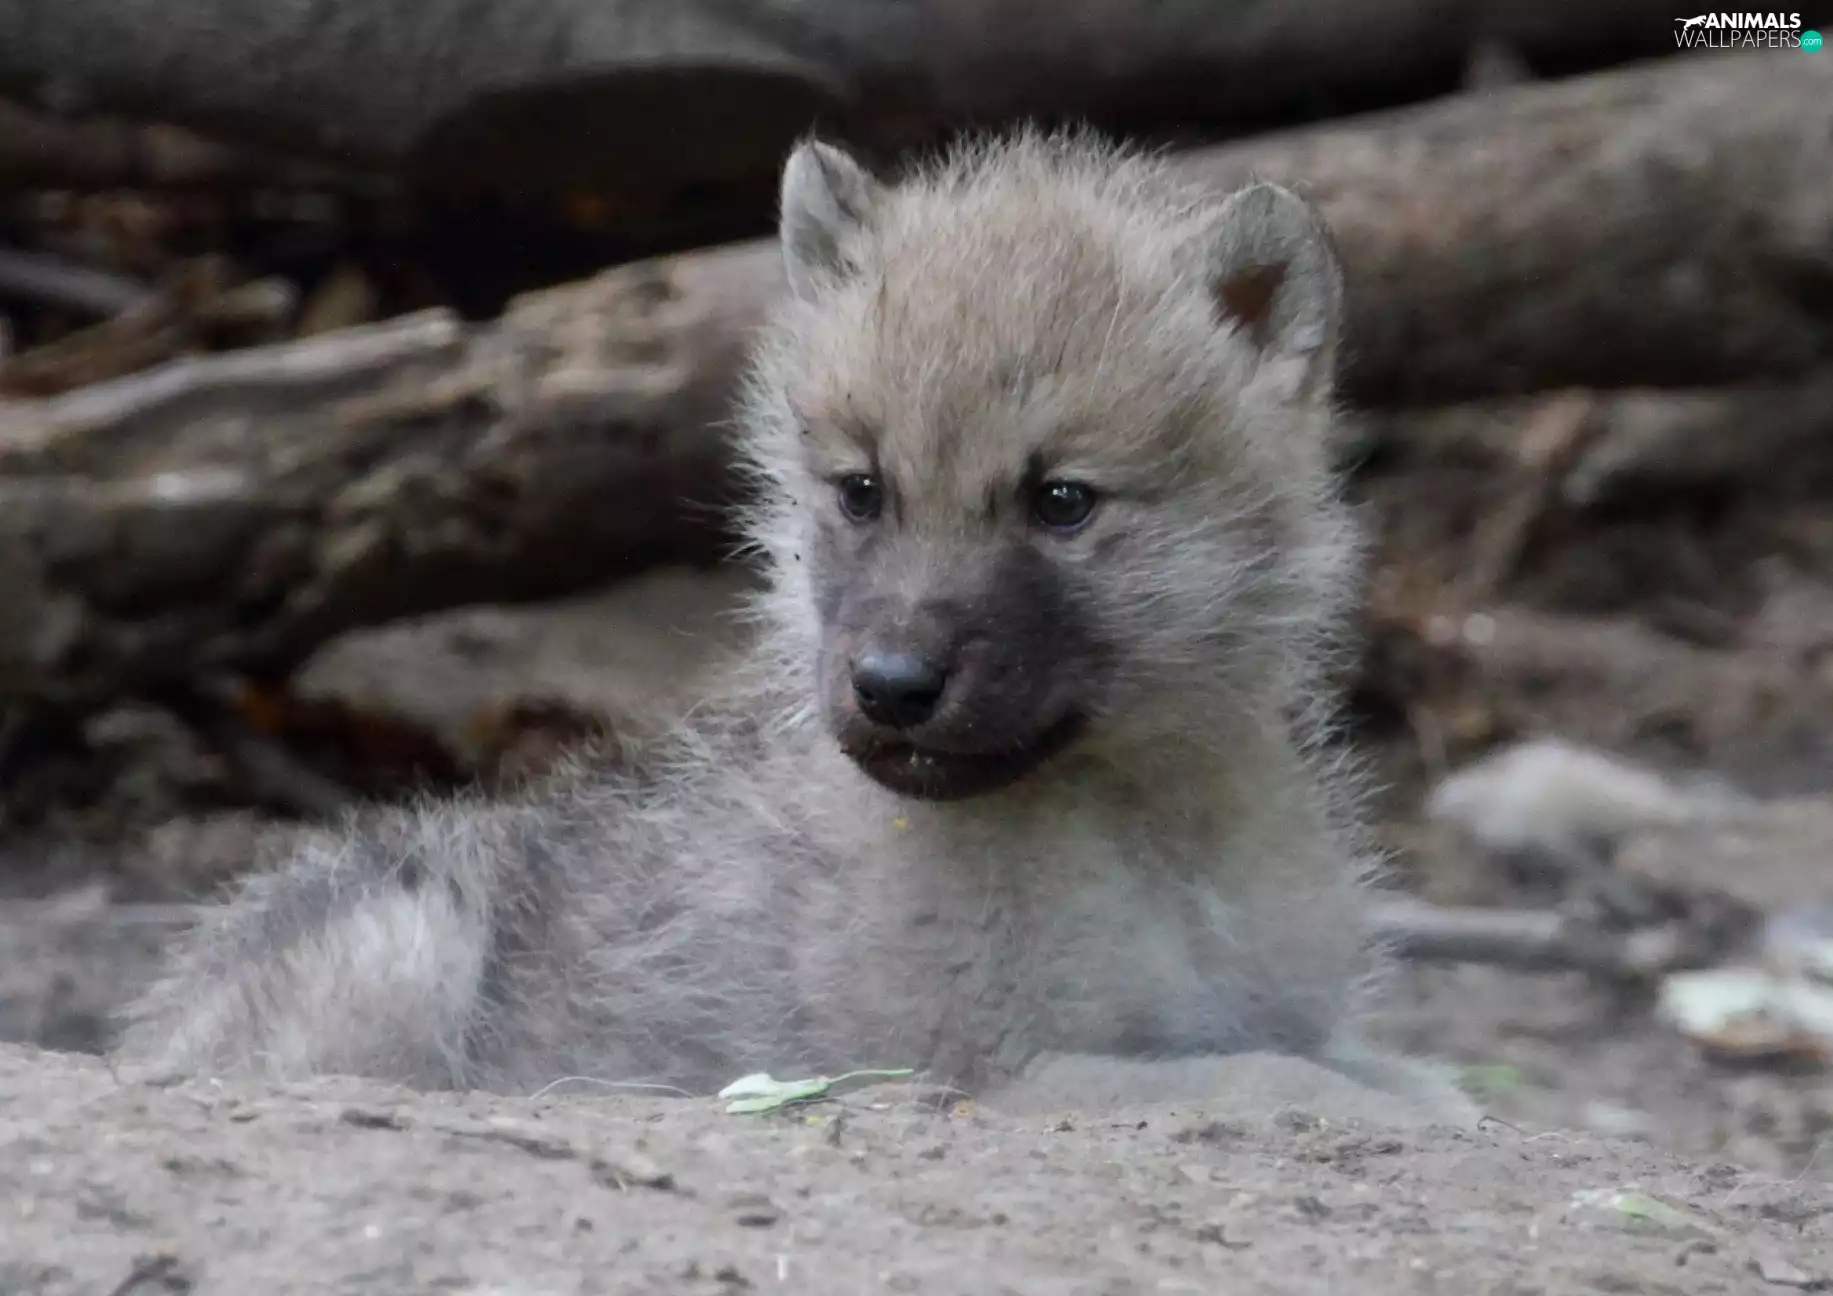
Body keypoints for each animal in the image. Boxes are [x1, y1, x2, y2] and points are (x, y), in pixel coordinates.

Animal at [115, 129, 1472, 1124]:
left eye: (1062, 501)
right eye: (862, 489)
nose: (891, 686)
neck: (1154, 831)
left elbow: (1364, 1064)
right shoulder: (993, 1070)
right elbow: (1278, 1080)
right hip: (401, 952)